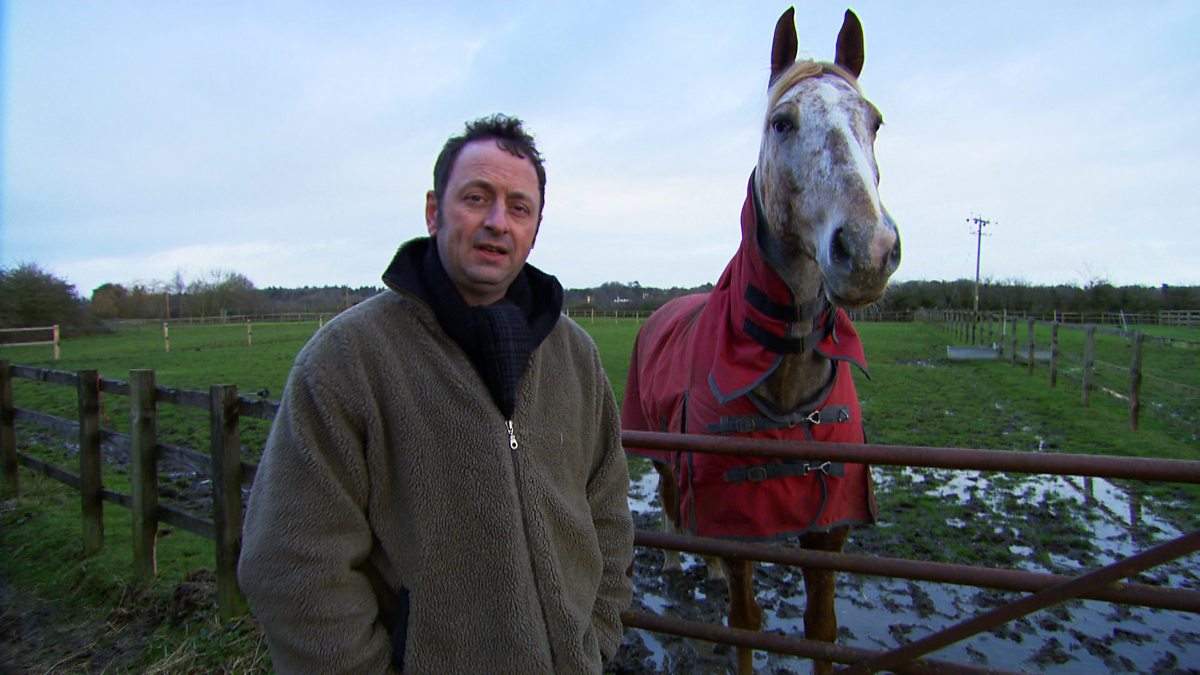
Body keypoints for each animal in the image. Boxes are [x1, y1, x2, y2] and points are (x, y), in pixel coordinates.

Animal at [621, 7, 900, 674]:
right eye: (781, 122)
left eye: (875, 122)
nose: (868, 250)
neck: (788, 388)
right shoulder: (738, 527)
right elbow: (745, 624)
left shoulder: (828, 531)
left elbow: (820, 630)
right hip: (661, 450)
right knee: (672, 497)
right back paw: (676, 558)